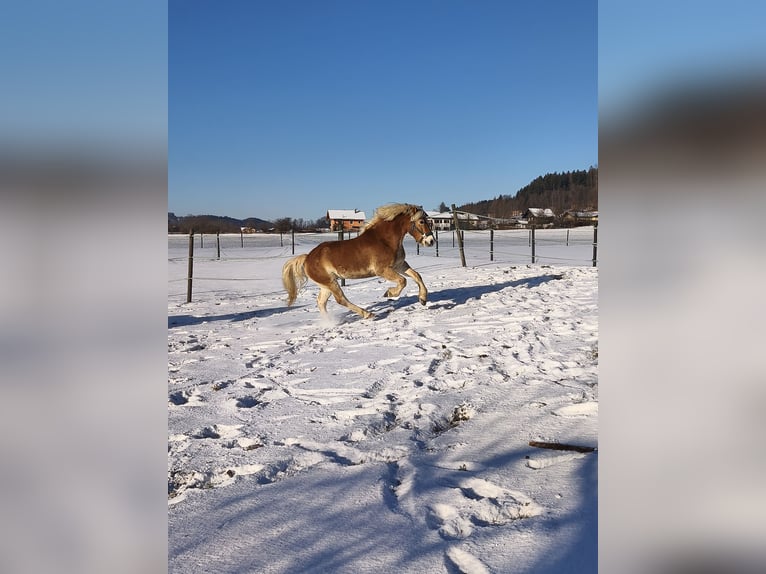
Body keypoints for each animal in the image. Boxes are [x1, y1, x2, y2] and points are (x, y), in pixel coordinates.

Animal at [282, 203, 435, 319]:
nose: (431, 241)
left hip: (326, 285)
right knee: (340, 299)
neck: (384, 240)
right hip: (330, 282)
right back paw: (367, 314)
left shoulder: (400, 265)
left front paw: (423, 299)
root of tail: (307, 257)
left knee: (321, 302)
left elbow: (417, 276)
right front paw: (389, 293)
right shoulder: (382, 270)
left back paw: (329, 322)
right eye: (421, 221)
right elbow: (403, 281)